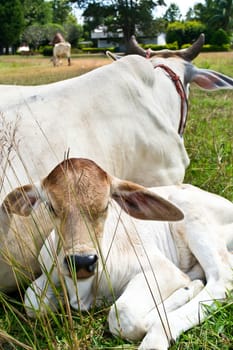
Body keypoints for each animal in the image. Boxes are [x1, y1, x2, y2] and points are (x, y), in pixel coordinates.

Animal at [2, 159, 233, 350]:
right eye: (51, 206)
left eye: (105, 206)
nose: (82, 261)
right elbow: (32, 302)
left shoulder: (164, 270)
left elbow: (123, 314)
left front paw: (182, 294)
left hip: (192, 216)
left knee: (221, 278)